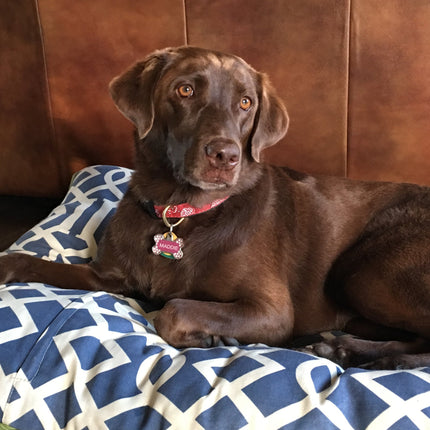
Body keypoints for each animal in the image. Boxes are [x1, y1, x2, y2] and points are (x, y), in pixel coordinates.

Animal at [0, 47, 430, 370]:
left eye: (246, 102)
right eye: (185, 90)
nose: (226, 156)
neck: (180, 213)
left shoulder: (272, 310)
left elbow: (173, 310)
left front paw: (212, 335)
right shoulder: (107, 276)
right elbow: (36, 263)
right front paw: (8, 264)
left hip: (363, 271)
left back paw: (353, 352)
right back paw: (346, 348)